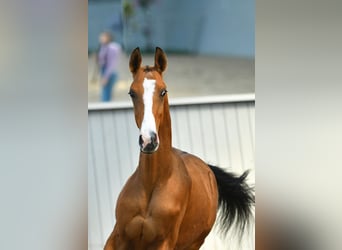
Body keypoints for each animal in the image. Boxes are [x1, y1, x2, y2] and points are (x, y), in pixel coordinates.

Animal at [104, 47, 254, 250]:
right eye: (131, 93)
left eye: (163, 91)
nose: (148, 140)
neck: (152, 184)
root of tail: (207, 169)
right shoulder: (117, 238)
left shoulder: (164, 243)